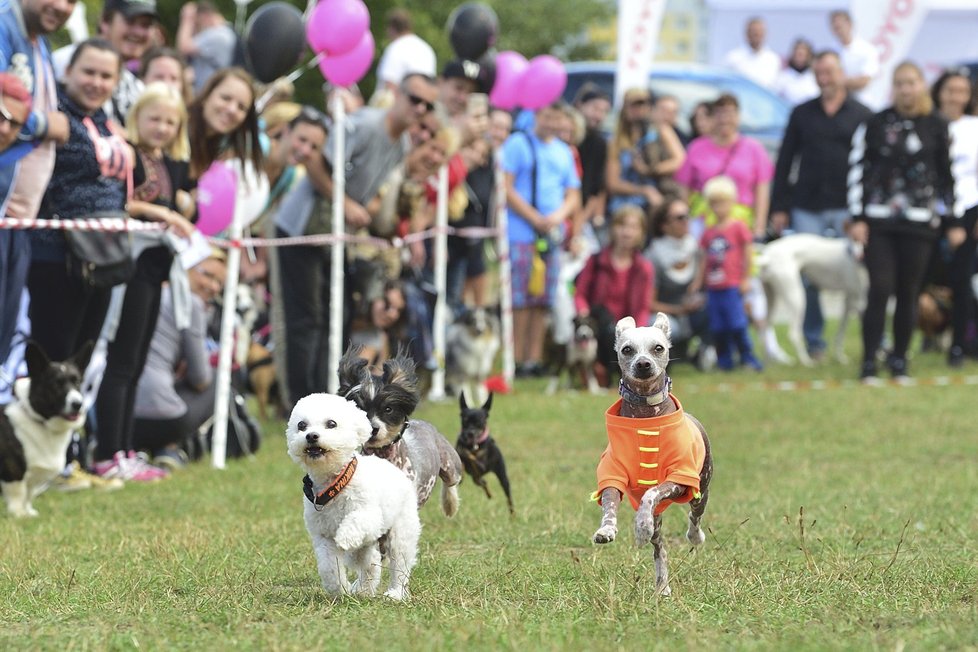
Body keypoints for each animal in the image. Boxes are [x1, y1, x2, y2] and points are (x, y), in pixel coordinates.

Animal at [0, 342, 93, 520]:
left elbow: (29, 494)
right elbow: (18, 493)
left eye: (77, 382)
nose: (78, 404)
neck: (40, 421)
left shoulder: (34, 478)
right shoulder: (13, 472)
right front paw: (18, 514)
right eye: (56, 384)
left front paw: (28, 511)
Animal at [284, 392, 418, 600]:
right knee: (371, 563)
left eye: (331, 423)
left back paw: (395, 593)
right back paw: (364, 590)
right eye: (301, 425)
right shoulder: (323, 536)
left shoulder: (369, 515)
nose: (311, 436)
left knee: (400, 562)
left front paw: (344, 538)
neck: (334, 484)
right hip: (368, 546)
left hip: (401, 529)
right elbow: (329, 567)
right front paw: (339, 590)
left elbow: (355, 522)